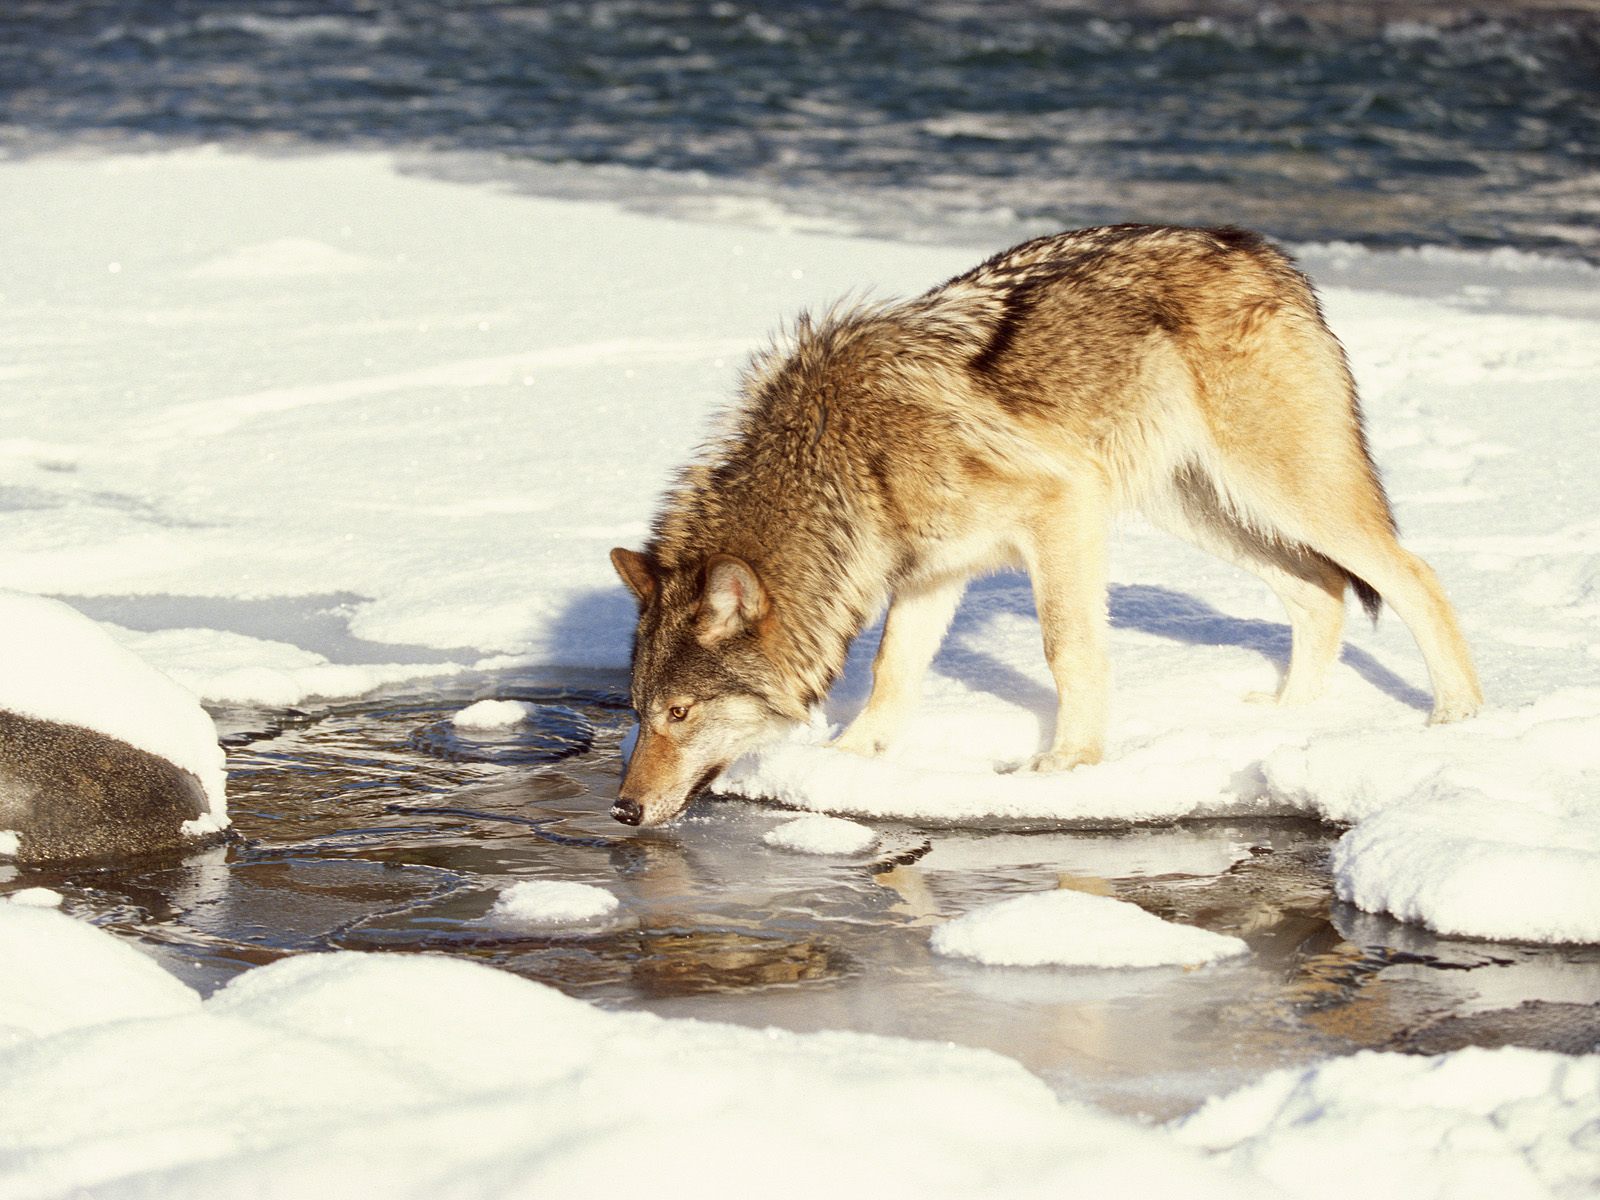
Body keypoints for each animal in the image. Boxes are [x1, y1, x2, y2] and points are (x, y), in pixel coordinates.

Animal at [604, 225, 1478, 825]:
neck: (841, 459)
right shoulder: (931, 571)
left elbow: (1068, 651)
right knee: (1321, 591)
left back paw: (1456, 718)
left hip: (1280, 492)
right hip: (1202, 507)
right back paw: (1284, 718)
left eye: (681, 713)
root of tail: (1267, 253)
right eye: (640, 712)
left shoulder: (1062, 510)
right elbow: (892, 671)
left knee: (1414, 575)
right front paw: (849, 762)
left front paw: (1070, 764)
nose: (622, 809)